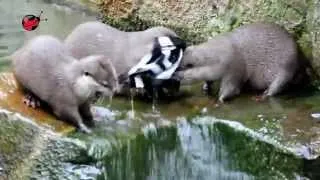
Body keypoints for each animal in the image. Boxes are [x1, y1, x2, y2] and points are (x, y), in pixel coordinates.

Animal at [178, 22, 310, 102]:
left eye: (177, 69)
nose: (172, 77)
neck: (218, 57)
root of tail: (302, 56)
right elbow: (209, 80)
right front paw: (206, 87)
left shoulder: (234, 68)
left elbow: (231, 89)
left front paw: (220, 99)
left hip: (287, 65)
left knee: (278, 85)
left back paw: (264, 95)